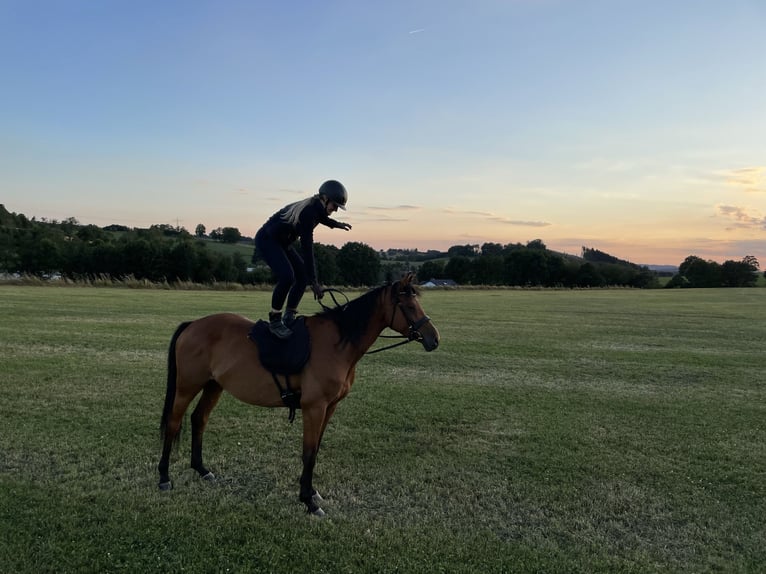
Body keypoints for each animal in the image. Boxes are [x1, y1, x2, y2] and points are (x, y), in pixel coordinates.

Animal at [159, 274, 440, 516]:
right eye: (409, 306)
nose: (434, 339)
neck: (338, 342)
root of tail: (192, 325)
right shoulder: (314, 407)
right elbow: (308, 452)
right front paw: (308, 501)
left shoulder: (330, 407)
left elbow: (315, 450)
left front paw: (312, 492)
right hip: (187, 386)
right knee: (173, 423)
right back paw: (163, 477)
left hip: (213, 385)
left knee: (199, 419)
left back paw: (201, 469)